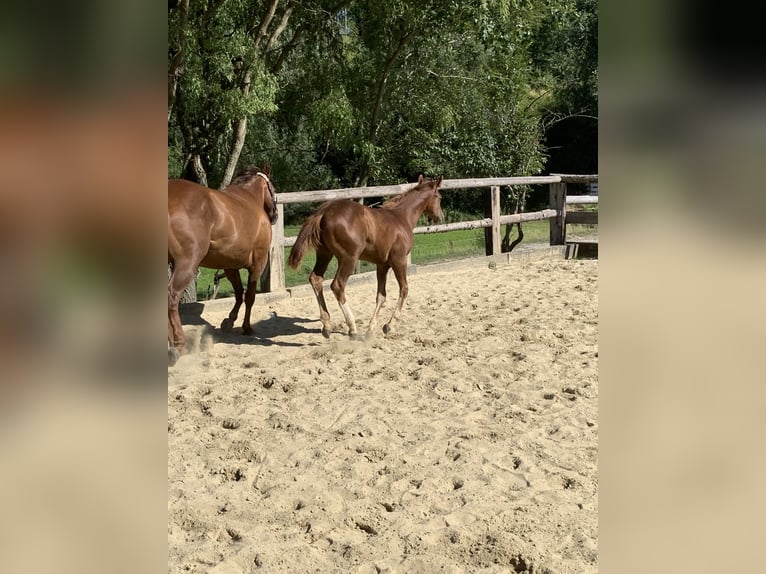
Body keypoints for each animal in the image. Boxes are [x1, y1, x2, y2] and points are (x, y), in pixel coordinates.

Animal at [168, 166, 280, 366]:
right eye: (272, 188)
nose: (275, 215)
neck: (249, 199)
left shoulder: (229, 265)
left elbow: (239, 293)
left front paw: (229, 321)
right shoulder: (258, 264)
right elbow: (249, 296)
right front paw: (246, 327)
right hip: (186, 265)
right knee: (171, 297)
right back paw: (177, 347)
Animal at [288, 174, 444, 338]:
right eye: (439, 197)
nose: (440, 217)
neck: (401, 217)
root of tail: (324, 212)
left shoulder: (382, 265)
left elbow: (381, 295)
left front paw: (371, 329)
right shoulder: (399, 260)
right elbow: (404, 289)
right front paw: (389, 326)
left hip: (324, 254)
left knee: (316, 279)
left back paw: (327, 325)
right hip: (349, 258)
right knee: (337, 285)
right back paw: (352, 328)